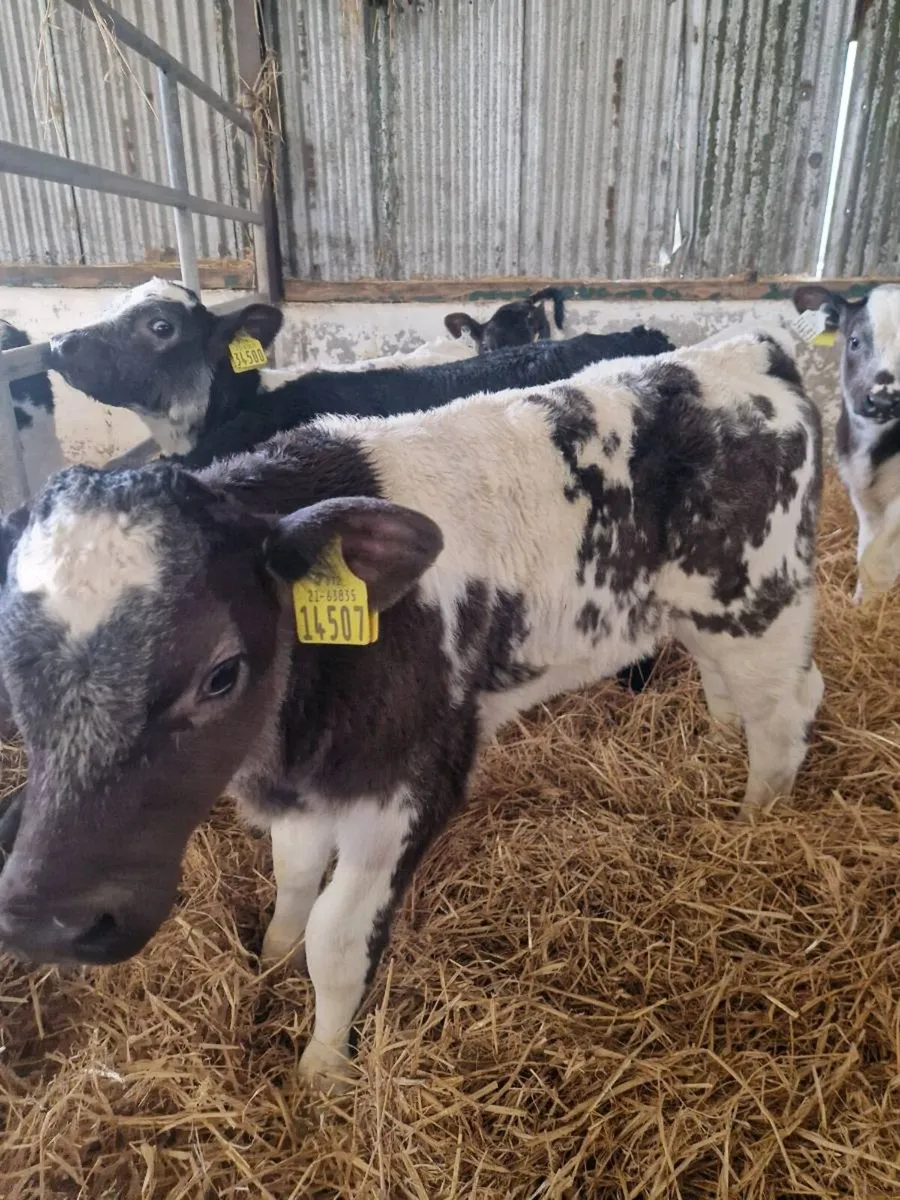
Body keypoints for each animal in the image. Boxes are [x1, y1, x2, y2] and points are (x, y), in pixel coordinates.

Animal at [0, 330, 823, 1093]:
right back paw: (717, 740)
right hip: (700, 615)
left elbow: (336, 939)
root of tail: (743, 345)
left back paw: (755, 821)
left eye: (221, 673)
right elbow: (293, 879)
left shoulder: (411, 781)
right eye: (12, 670)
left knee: (786, 712)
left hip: (760, 601)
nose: (51, 920)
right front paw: (271, 957)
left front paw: (323, 1071)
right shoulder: (308, 785)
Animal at [793, 284, 900, 601]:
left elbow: (879, 551)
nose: (884, 400)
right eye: (854, 340)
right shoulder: (860, 488)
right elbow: (867, 545)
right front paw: (862, 602)